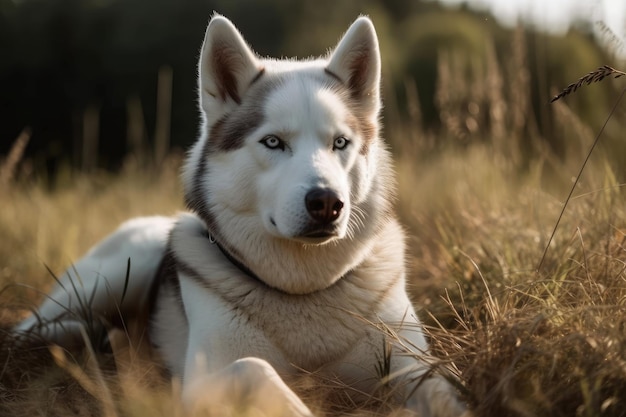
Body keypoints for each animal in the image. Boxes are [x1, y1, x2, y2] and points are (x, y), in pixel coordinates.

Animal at [14, 13, 466, 416]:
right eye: (273, 142)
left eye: (340, 142)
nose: (327, 202)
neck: (303, 290)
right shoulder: (201, 384)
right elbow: (256, 369)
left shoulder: (413, 368)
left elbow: (445, 396)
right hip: (119, 271)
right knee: (28, 328)